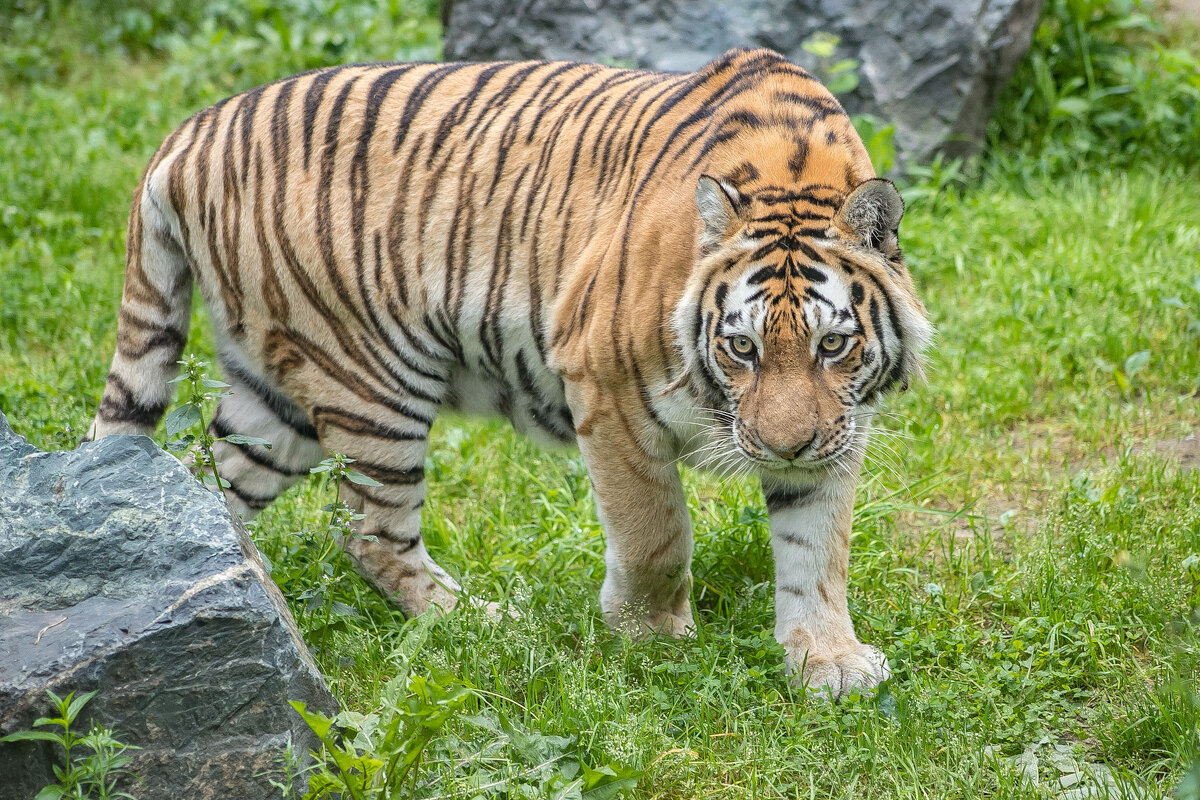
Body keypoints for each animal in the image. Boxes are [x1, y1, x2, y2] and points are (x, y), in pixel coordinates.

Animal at [88, 50, 936, 700]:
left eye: (833, 345)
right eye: (741, 348)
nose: (780, 447)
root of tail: (189, 133)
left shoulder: (838, 426)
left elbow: (817, 548)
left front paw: (827, 661)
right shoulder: (608, 389)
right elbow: (656, 535)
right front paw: (652, 642)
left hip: (276, 402)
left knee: (202, 487)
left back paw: (247, 599)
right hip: (371, 379)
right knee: (369, 533)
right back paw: (485, 621)